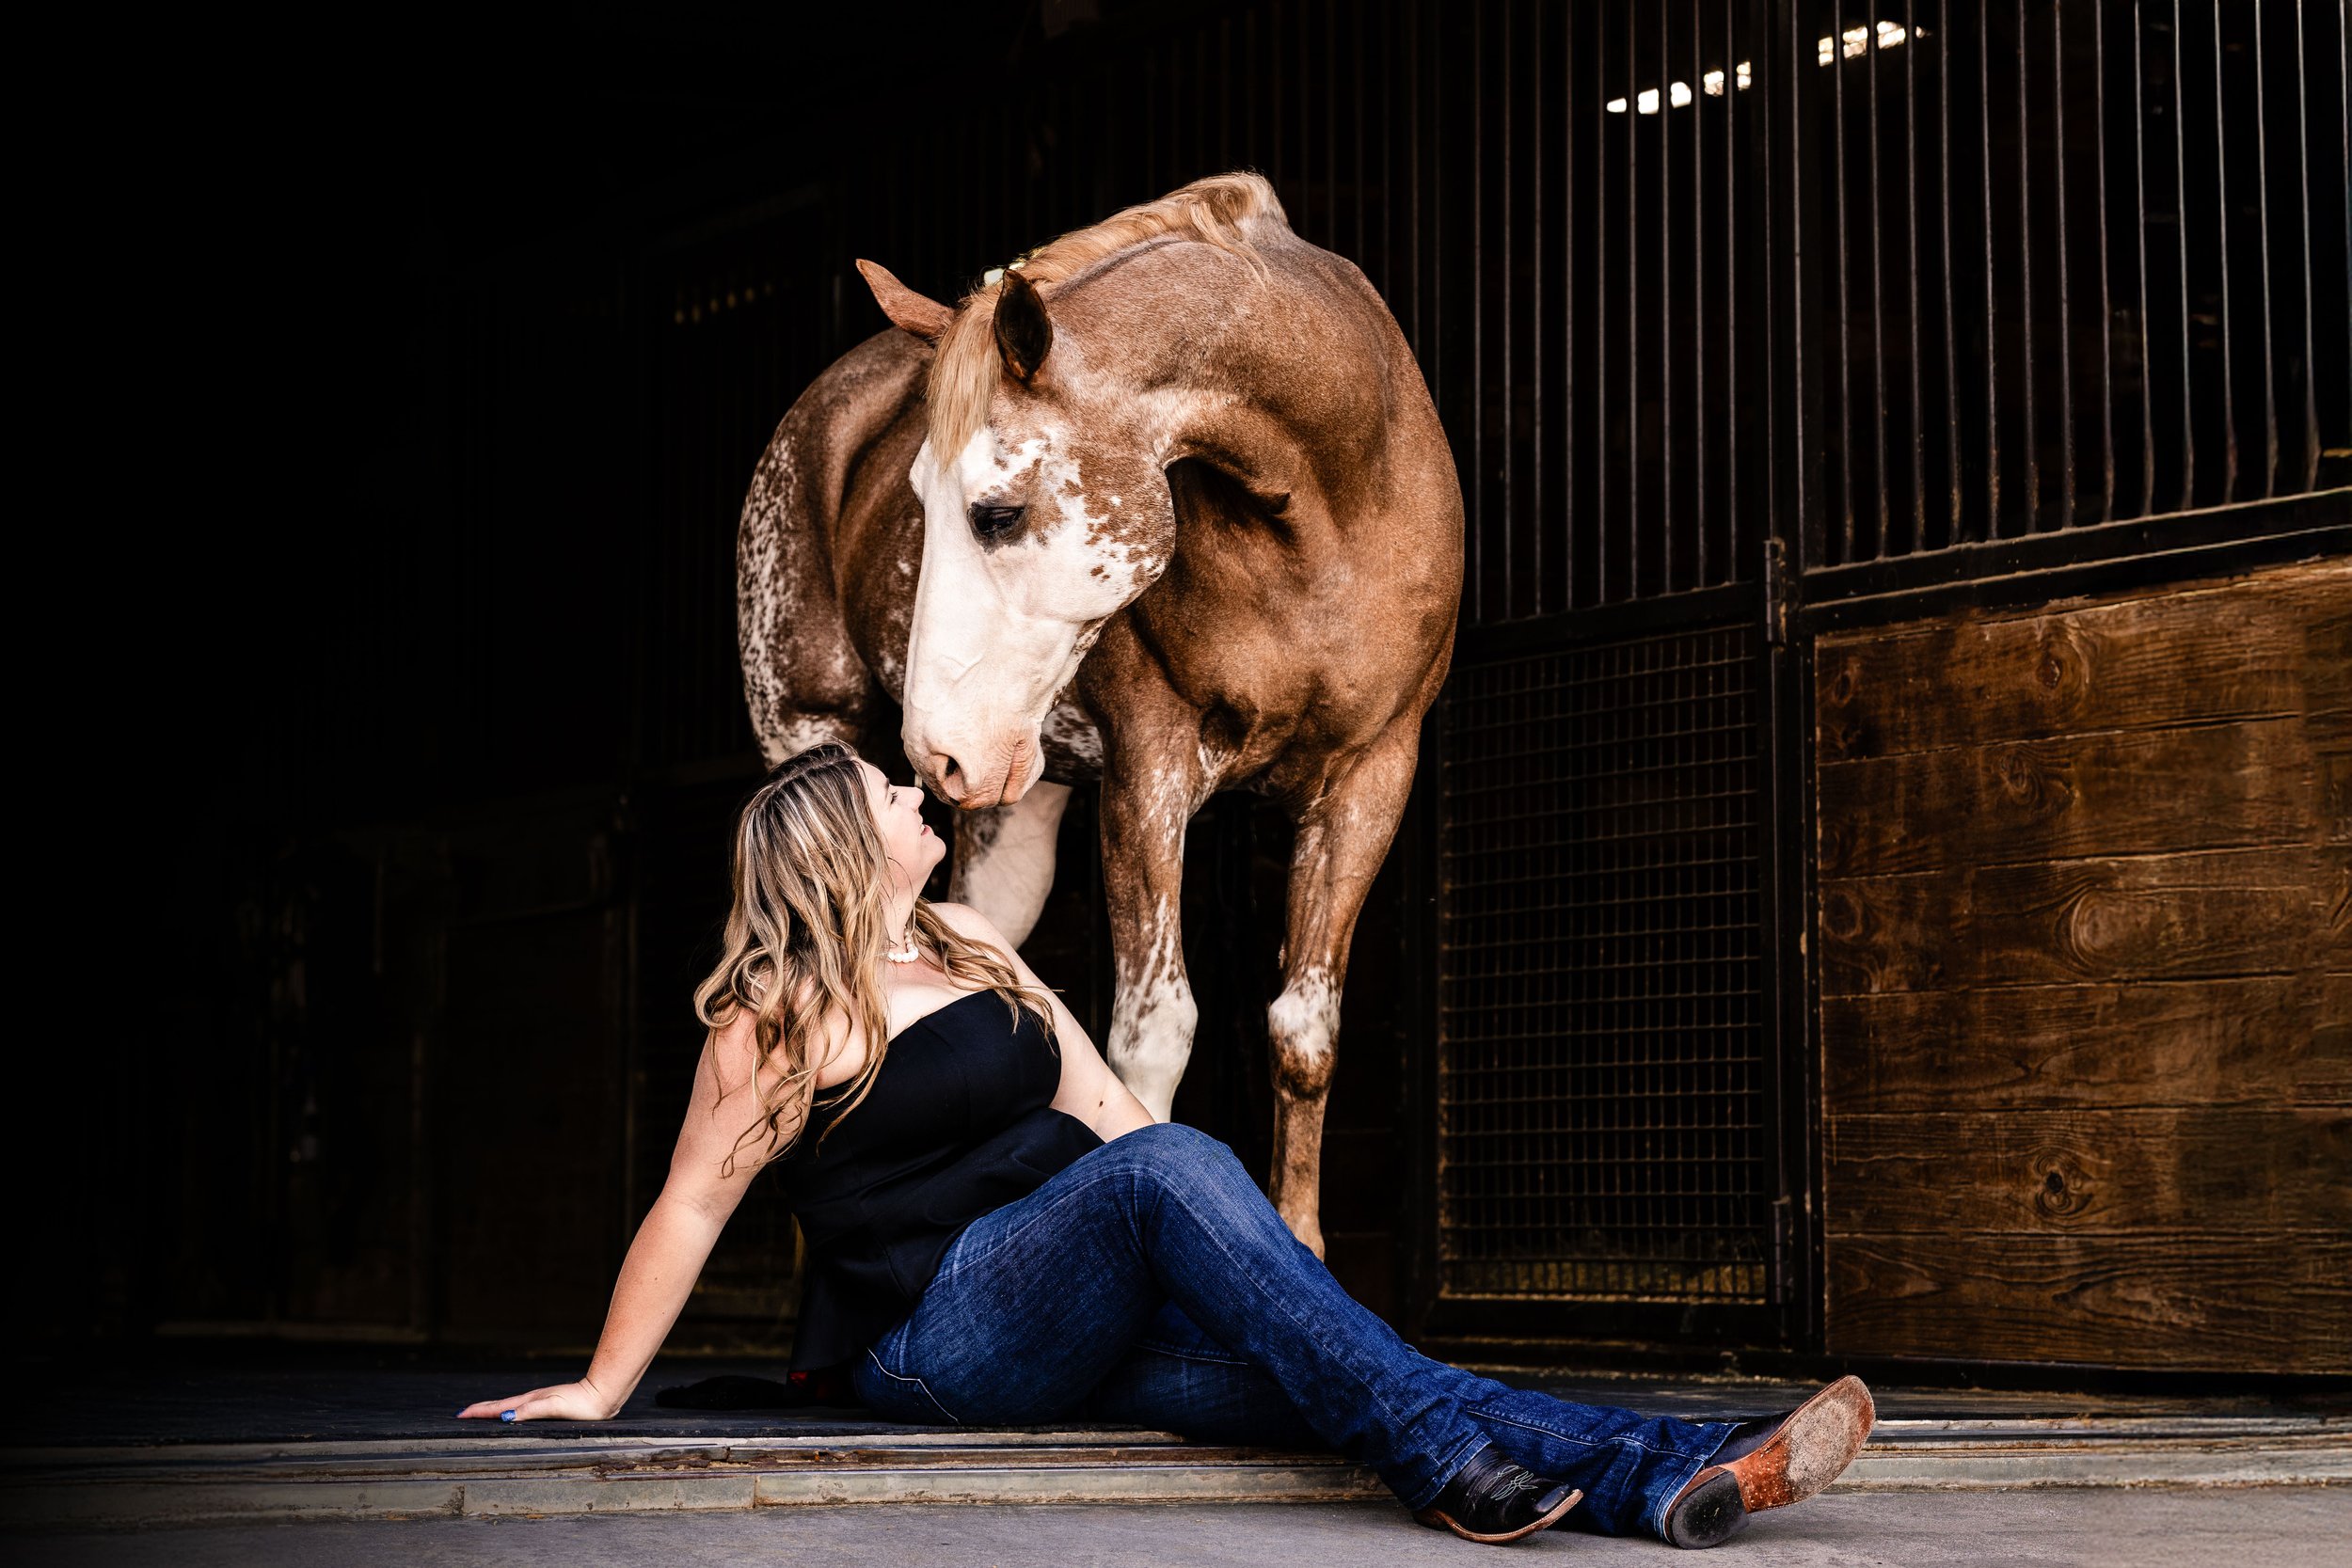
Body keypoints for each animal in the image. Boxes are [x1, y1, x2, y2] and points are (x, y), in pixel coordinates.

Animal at [737, 173, 1462, 1255]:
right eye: (917, 500)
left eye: (995, 512)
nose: (936, 747)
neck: (1330, 509)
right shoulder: (1148, 773)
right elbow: (1153, 1031)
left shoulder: (1373, 774)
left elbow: (1303, 1034)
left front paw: (1300, 1243)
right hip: (805, 729)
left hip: (1015, 803)